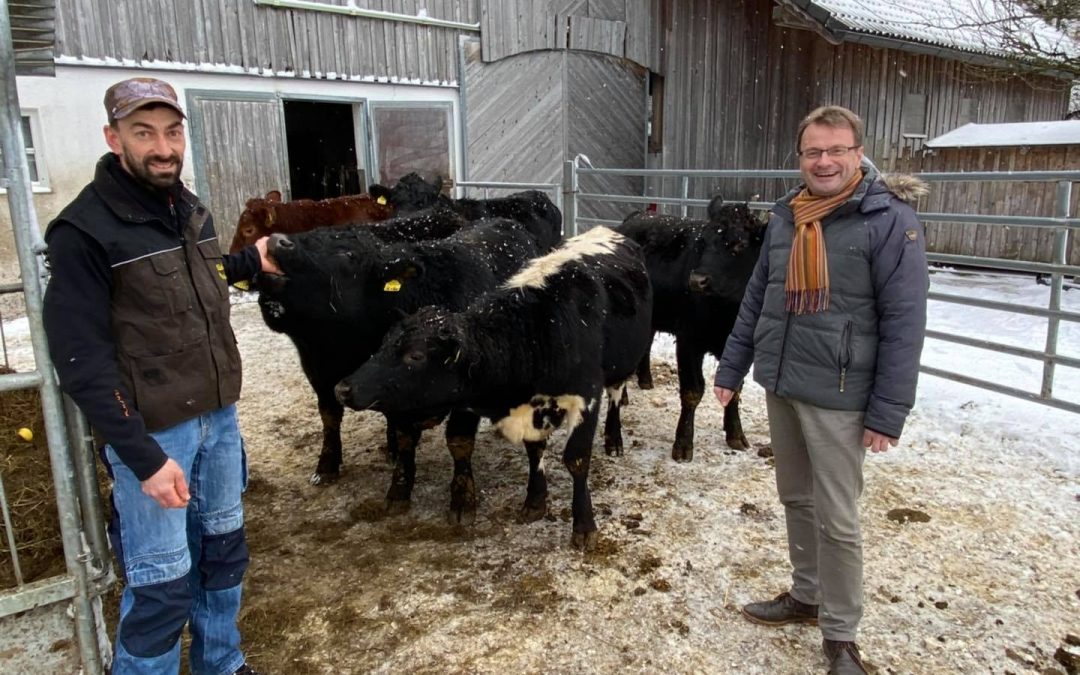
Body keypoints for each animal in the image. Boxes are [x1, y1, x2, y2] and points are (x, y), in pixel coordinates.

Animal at [254, 212, 557, 486]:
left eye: (348, 255)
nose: (277, 241)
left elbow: (458, 440)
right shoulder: (323, 376)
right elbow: (332, 421)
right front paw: (327, 467)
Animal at [336, 226, 652, 548]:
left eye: (416, 355)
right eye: (383, 344)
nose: (343, 388)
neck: (540, 329)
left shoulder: (585, 398)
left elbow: (576, 459)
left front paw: (584, 525)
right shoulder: (530, 409)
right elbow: (534, 451)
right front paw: (535, 501)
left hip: (622, 366)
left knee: (616, 398)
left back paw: (614, 440)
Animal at [617, 198, 768, 462]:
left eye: (739, 244)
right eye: (702, 242)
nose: (698, 280)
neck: (726, 312)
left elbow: (735, 390)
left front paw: (735, 434)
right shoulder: (689, 341)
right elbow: (692, 391)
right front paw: (683, 443)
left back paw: (645, 380)